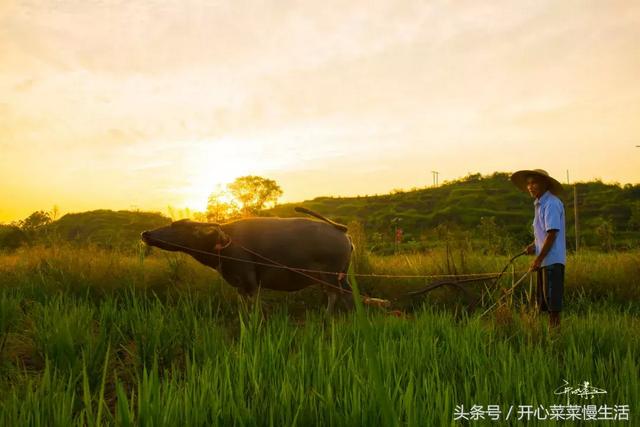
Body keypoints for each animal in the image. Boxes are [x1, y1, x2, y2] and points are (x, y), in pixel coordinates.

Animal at [139, 207, 356, 310]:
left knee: (336, 295)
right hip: (338, 277)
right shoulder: (240, 286)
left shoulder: (250, 281)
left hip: (331, 276)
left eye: (175, 226)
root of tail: (342, 231)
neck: (224, 242)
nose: (146, 233)